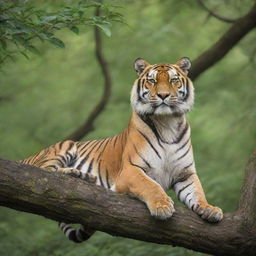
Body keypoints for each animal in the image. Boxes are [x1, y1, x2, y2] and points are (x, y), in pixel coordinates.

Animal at [21, 57, 223, 243]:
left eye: (173, 80)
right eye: (152, 81)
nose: (163, 95)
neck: (167, 123)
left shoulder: (185, 173)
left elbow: (197, 192)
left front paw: (210, 209)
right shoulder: (130, 170)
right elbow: (151, 185)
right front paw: (162, 206)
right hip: (65, 146)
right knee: (45, 173)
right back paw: (75, 174)